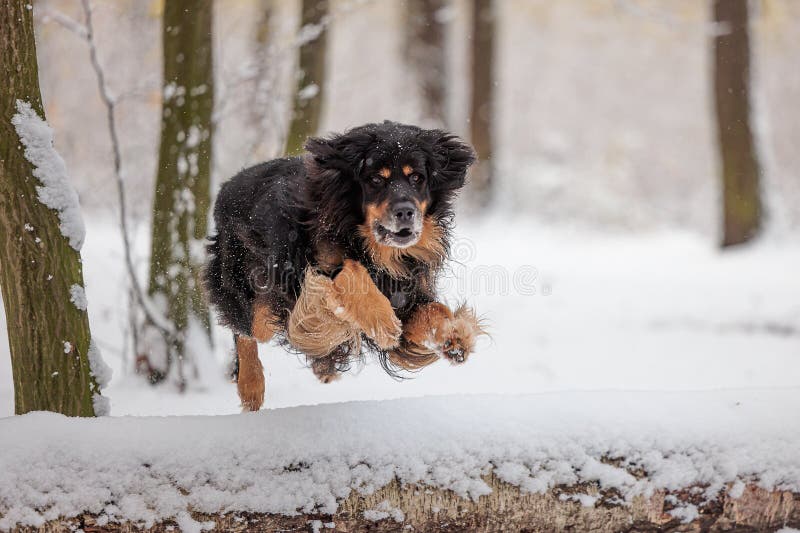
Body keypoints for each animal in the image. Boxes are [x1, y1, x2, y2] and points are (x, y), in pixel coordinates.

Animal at [203, 121, 484, 412]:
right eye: (376, 179)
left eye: (417, 177)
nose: (406, 212)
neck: (371, 245)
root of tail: (227, 186)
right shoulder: (311, 269)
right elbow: (351, 272)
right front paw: (382, 320)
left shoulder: (407, 293)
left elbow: (434, 310)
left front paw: (454, 336)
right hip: (249, 283)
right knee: (247, 328)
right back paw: (251, 385)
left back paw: (322, 366)